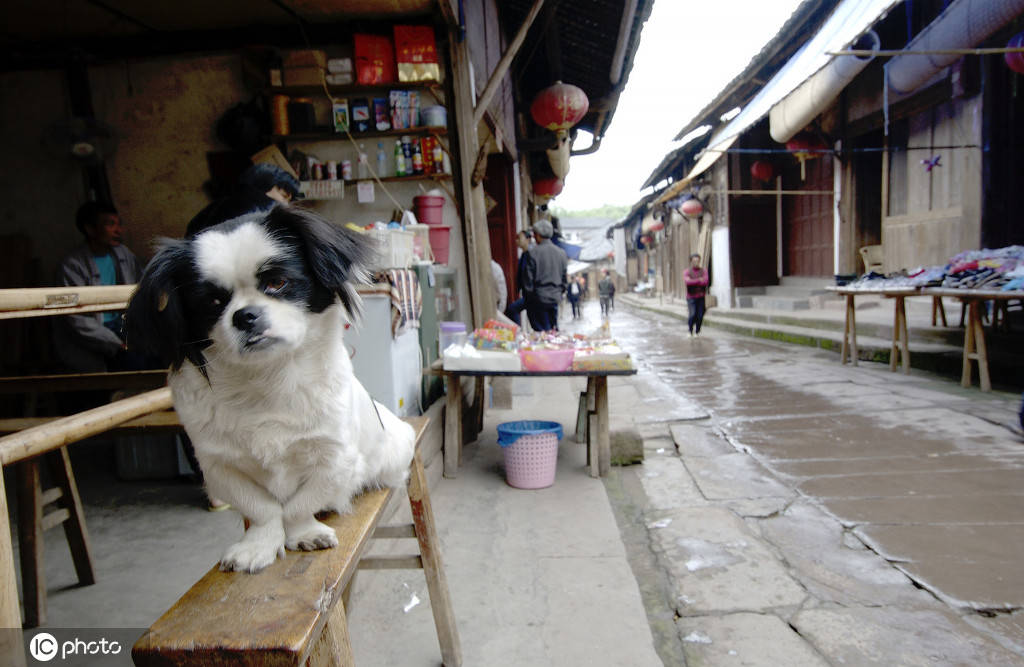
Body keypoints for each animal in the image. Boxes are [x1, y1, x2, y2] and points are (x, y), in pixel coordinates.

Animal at [125, 205, 413, 569]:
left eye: (277, 282)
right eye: (212, 303)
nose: (245, 315)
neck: (267, 379)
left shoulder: (334, 457)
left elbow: (299, 505)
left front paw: (304, 533)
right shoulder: (219, 466)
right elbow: (262, 508)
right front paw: (258, 546)